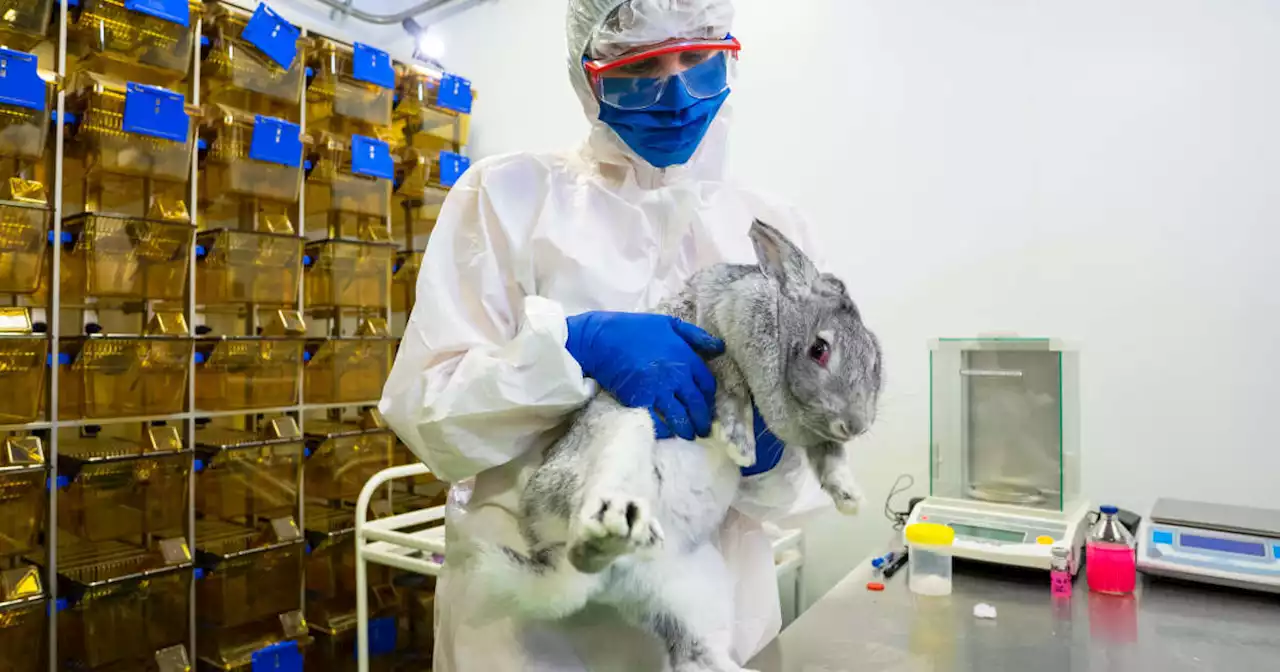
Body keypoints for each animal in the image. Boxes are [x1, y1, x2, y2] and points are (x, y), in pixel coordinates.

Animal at [476, 220, 885, 670]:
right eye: (819, 349)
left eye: (875, 359)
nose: (855, 424)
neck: (777, 323)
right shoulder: (716, 338)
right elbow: (732, 384)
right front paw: (741, 446)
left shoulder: (817, 436)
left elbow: (828, 454)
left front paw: (849, 498)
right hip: (619, 436)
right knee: (585, 529)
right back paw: (608, 530)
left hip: (696, 596)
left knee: (694, 655)